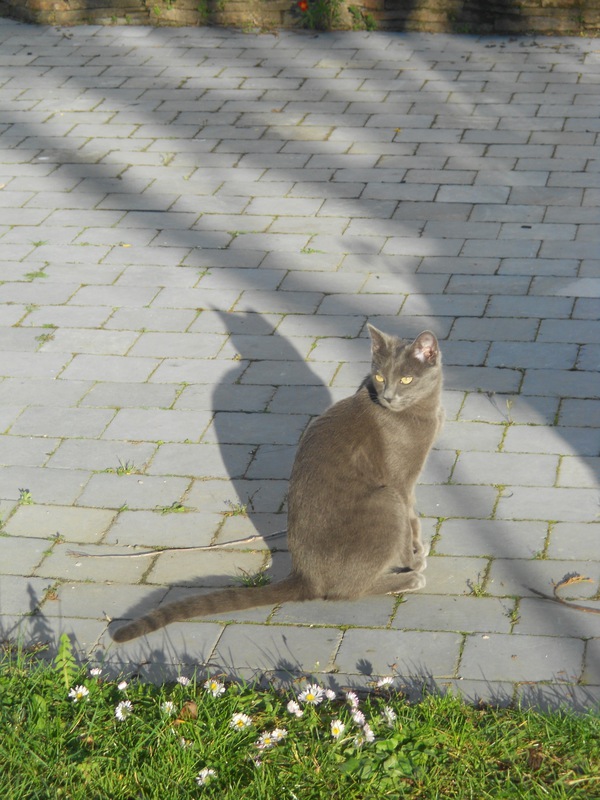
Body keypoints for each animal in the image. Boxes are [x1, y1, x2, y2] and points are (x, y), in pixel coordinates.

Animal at [111, 324, 440, 644]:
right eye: (381, 377)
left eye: (407, 379)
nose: (388, 397)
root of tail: (305, 574)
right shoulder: (400, 481)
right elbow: (408, 521)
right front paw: (413, 559)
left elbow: (414, 519)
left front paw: (417, 548)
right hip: (385, 499)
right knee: (346, 590)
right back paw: (407, 579)